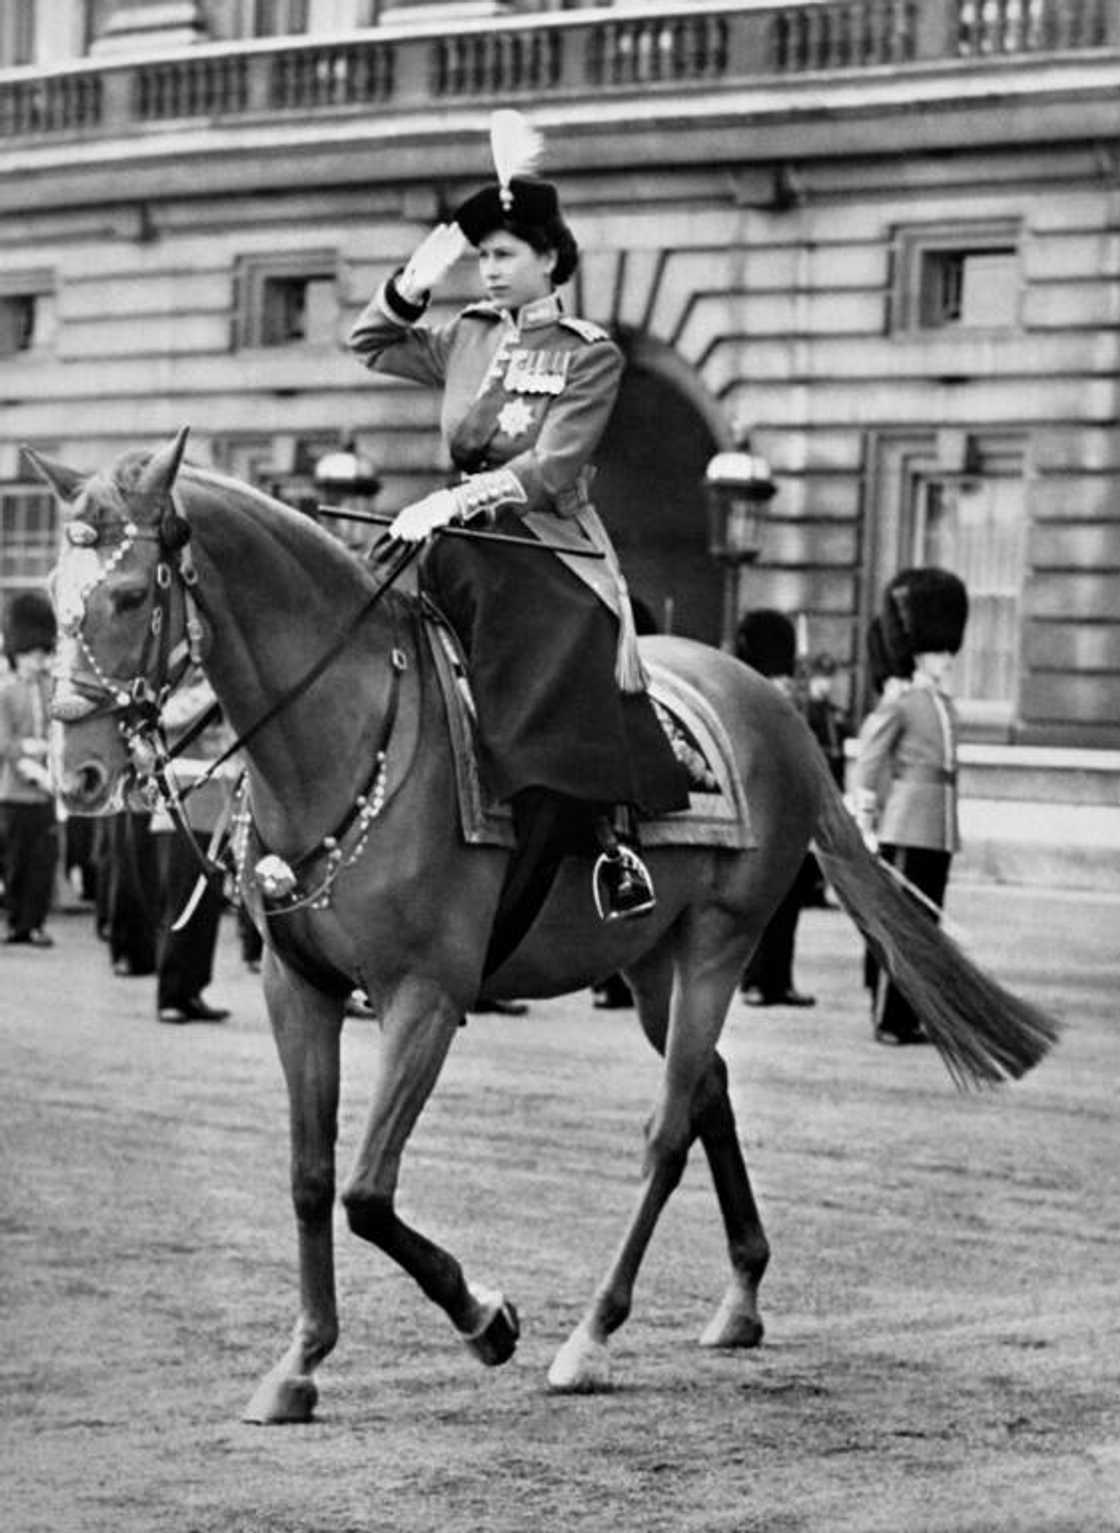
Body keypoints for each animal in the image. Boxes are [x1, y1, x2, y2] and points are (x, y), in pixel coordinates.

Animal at [26, 432, 1060, 1422]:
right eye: (51, 594)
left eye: (128, 592)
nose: (80, 774)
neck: (340, 738)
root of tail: (768, 700)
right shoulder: (300, 988)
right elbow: (313, 1178)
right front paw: (302, 1361)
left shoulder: (426, 997)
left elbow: (366, 1190)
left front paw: (484, 1317)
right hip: (649, 962)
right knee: (710, 1090)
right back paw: (740, 1295)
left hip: (720, 942)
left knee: (668, 1128)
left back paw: (593, 1334)